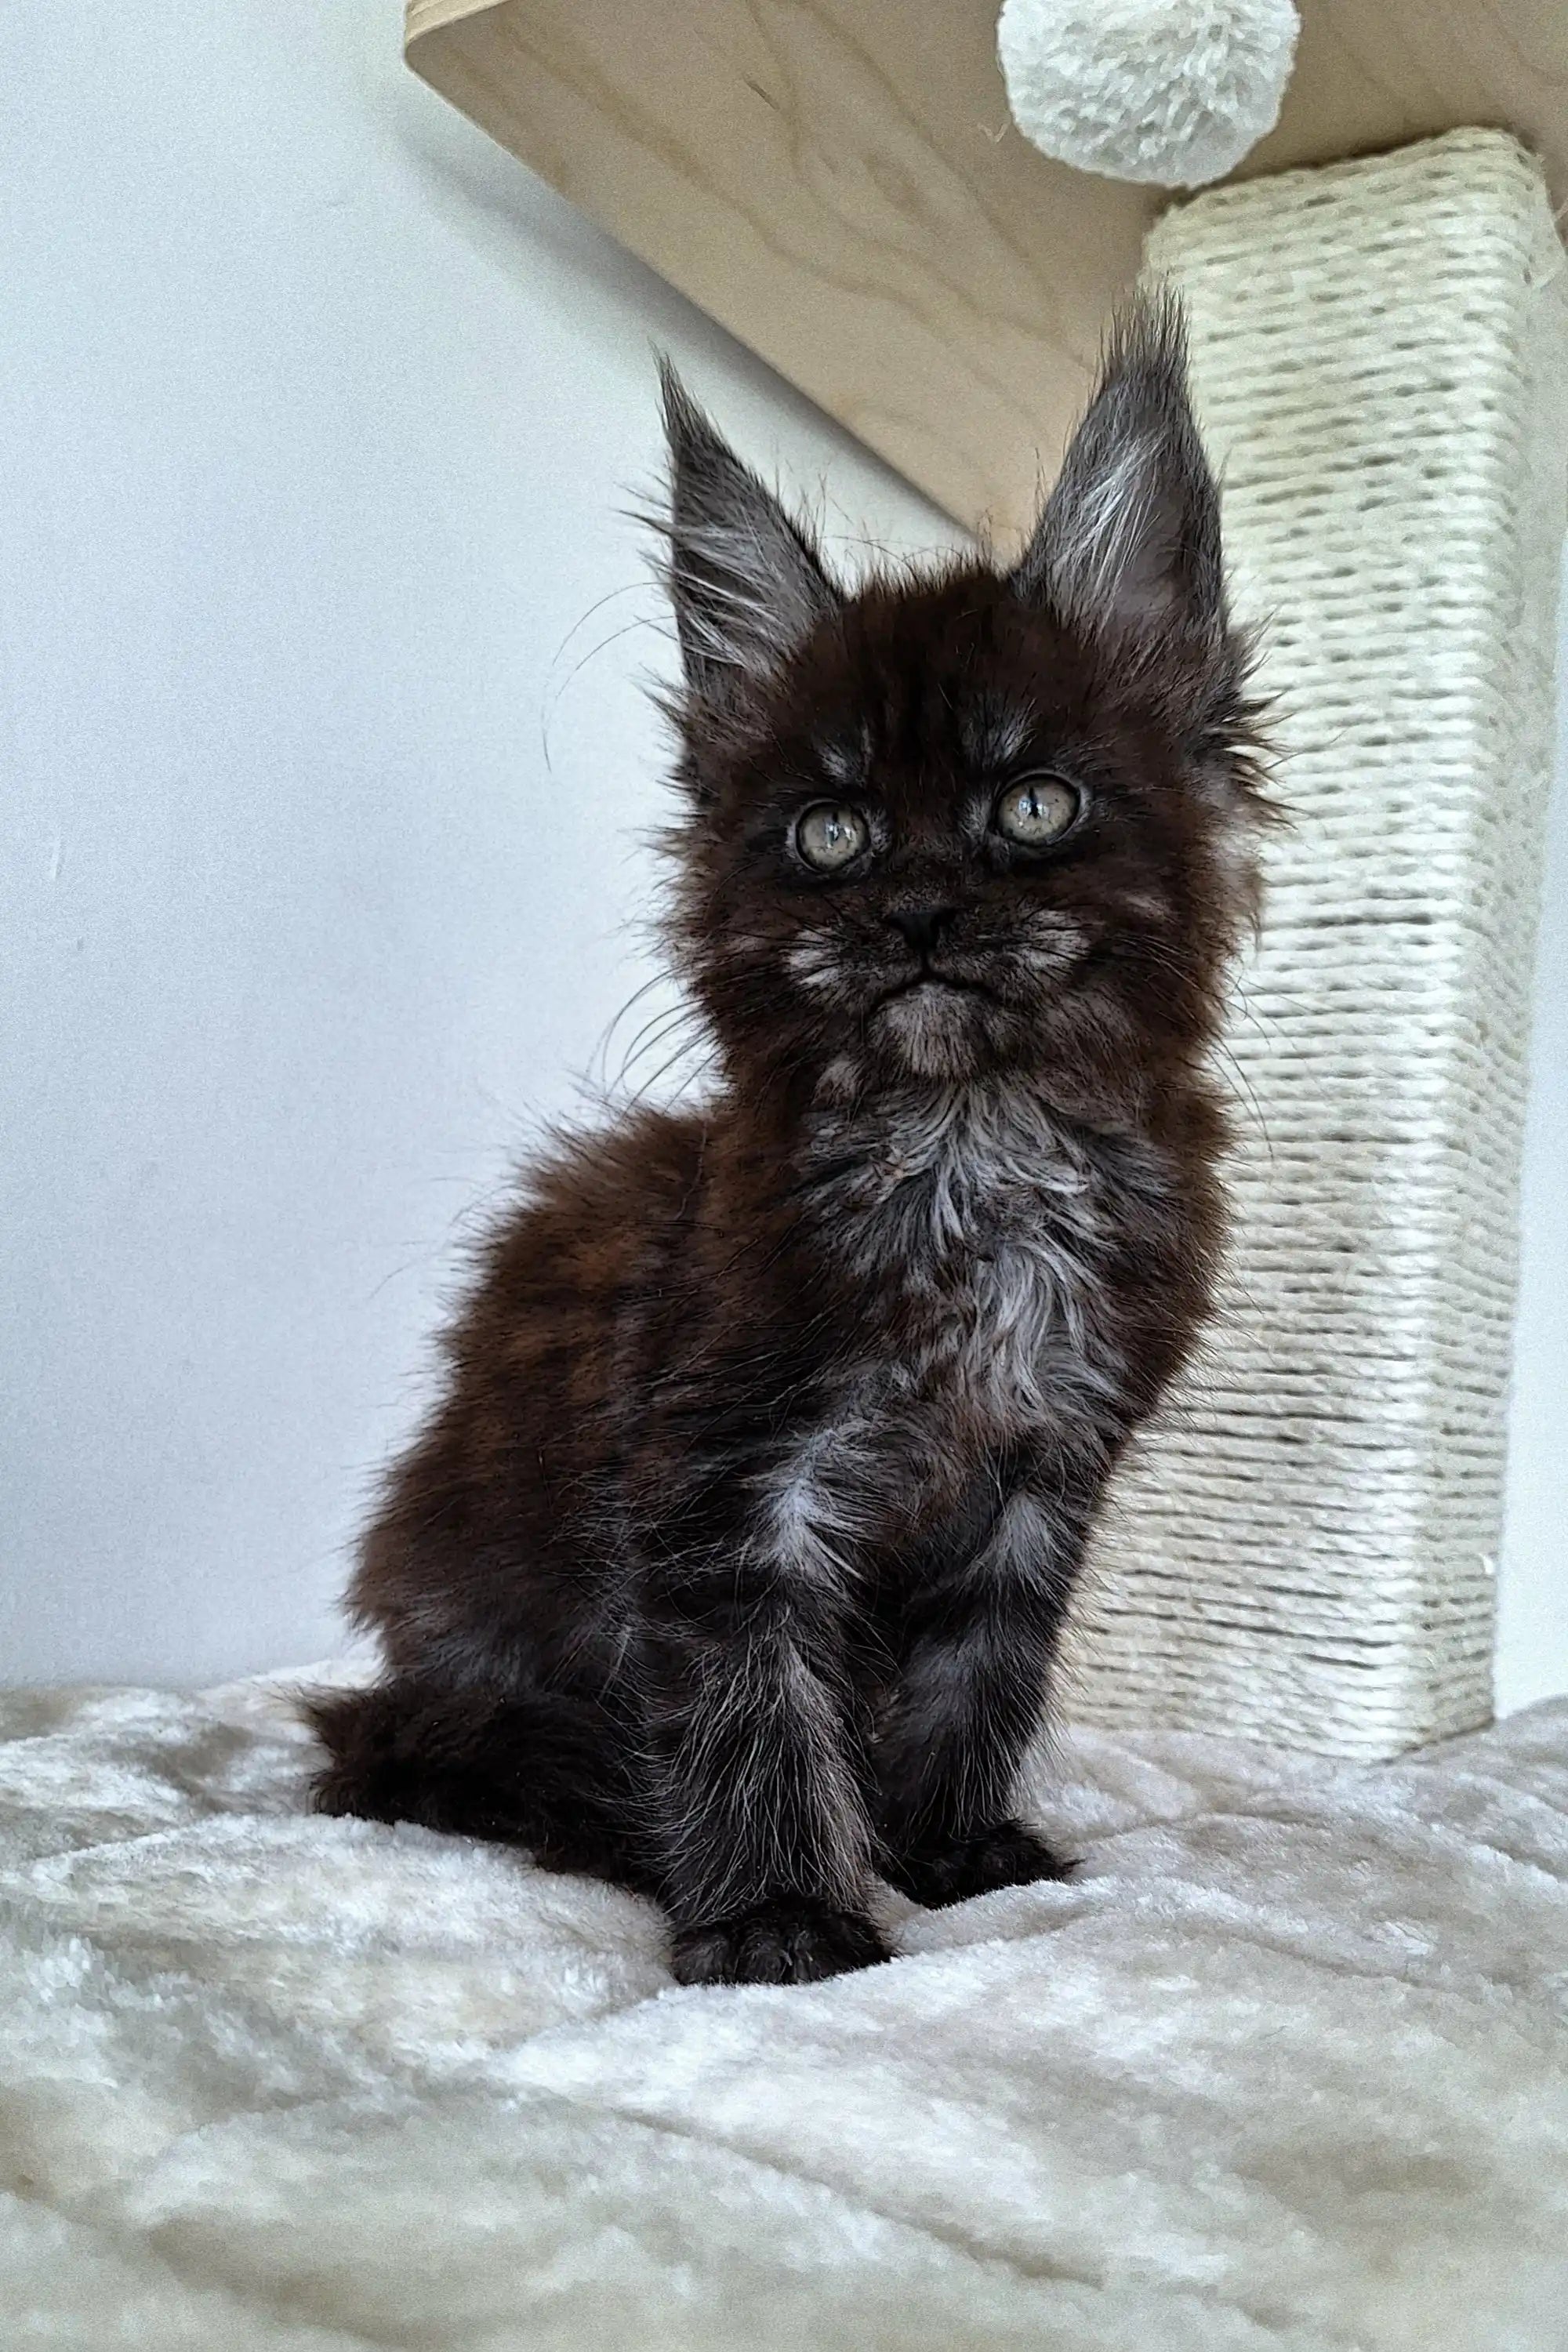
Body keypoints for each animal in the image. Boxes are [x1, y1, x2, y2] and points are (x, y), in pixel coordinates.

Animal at [305, 289, 1260, 1985]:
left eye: (1033, 806)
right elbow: (750, 1705)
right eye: (832, 834)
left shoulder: (1039, 1481)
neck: (973, 1159)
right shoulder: (726, 1480)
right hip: (470, 1672)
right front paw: (780, 1919)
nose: (921, 912)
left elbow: (978, 1681)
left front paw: (948, 1851)